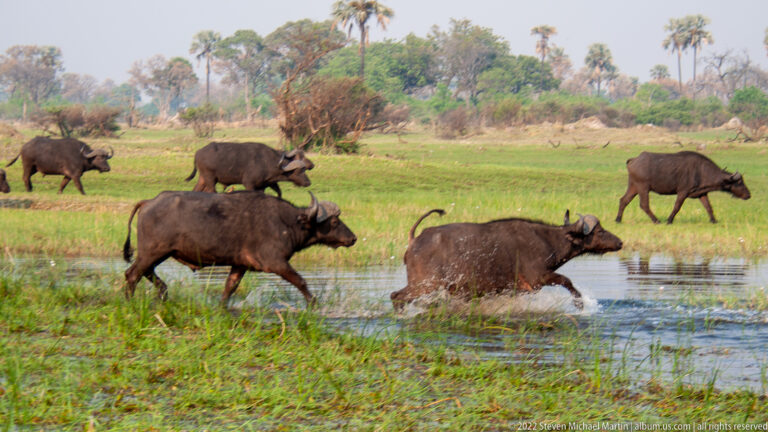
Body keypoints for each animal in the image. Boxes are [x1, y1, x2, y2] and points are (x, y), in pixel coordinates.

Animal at [123, 191, 356, 306]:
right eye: (334, 222)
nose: (352, 238)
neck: (287, 223)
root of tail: (148, 202)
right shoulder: (277, 263)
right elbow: (300, 281)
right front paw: (313, 303)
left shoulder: (239, 265)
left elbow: (229, 288)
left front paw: (222, 306)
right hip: (153, 252)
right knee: (132, 274)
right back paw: (130, 301)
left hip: (159, 253)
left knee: (145, 272)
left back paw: (163, 292)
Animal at [185, 142, 314, 197]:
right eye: (301, 170)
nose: (308, 182)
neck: (268, 162)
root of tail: (198, 152)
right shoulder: (249, 184)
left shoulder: (265, 185)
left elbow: (279, 193)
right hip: (210, 179)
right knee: (211, 191)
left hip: (202, 178)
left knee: (196, 190)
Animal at [390, 210, 623, 311]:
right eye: (600, 231)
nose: (620, 242)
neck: (548, 241)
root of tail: (415, 240)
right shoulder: (538, 278)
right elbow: (567, 281)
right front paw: (579, 303)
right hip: (424, 285)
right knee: (396, 296)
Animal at [616, 151, 751, 224]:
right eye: (739, 182)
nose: (748, 195)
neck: (701, 171)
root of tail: (634, 160)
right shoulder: (682, 192)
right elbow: (677, 207)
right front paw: (669, 220)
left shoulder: (702, 193)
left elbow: (709, 207)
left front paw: (714, 220)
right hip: (643, 187)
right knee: (644, 205)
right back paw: (657, 220)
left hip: (634, 187)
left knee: (624, 200)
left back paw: (618, 219)